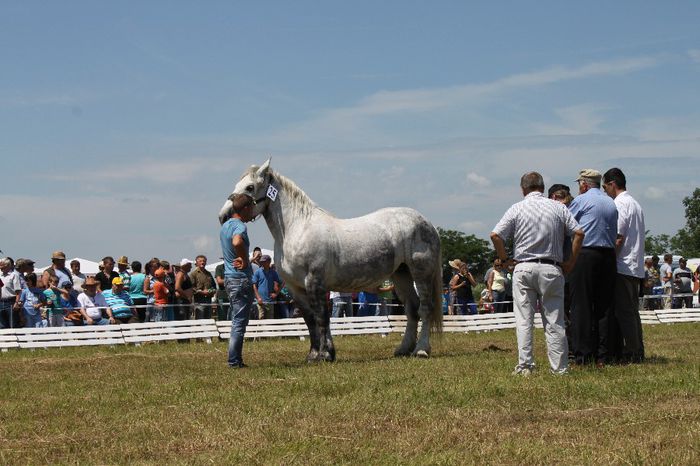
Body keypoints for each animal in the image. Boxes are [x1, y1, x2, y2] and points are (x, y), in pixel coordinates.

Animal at [218, 159, 443, 362]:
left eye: (250, 187)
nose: (224, 216)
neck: (297, 229)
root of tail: (427, 222)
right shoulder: (295, 288)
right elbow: (310, 320)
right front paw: (313, 355)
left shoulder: (315, 282)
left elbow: (321, 317)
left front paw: (326, 354)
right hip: (401, 274)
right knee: (412, 309)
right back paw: (403, 349)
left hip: (420, 273)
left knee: (425, 308)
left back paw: (421, 350)